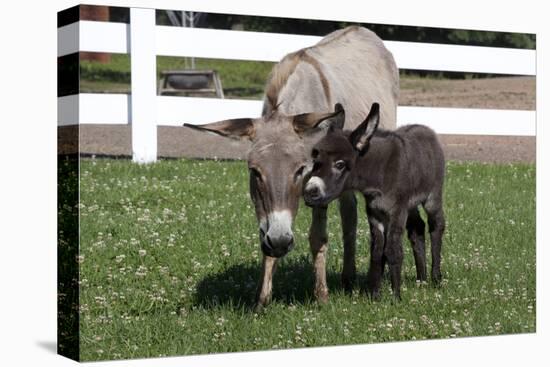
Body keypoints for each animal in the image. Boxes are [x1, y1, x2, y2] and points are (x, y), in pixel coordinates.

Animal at [304, 102, 446, 300]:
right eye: (315, 160)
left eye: (339, 164)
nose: (309, 193)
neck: (378, 174)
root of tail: (425, 128)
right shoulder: (375, 213)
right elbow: (377, 252)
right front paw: (375, 295)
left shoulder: (397, 212)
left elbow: (392, 250)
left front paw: (396, 297)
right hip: (410, 206)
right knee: (417, 228)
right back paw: (421, 279)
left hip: (432, 196)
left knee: (436, 225)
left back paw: (436, 278)